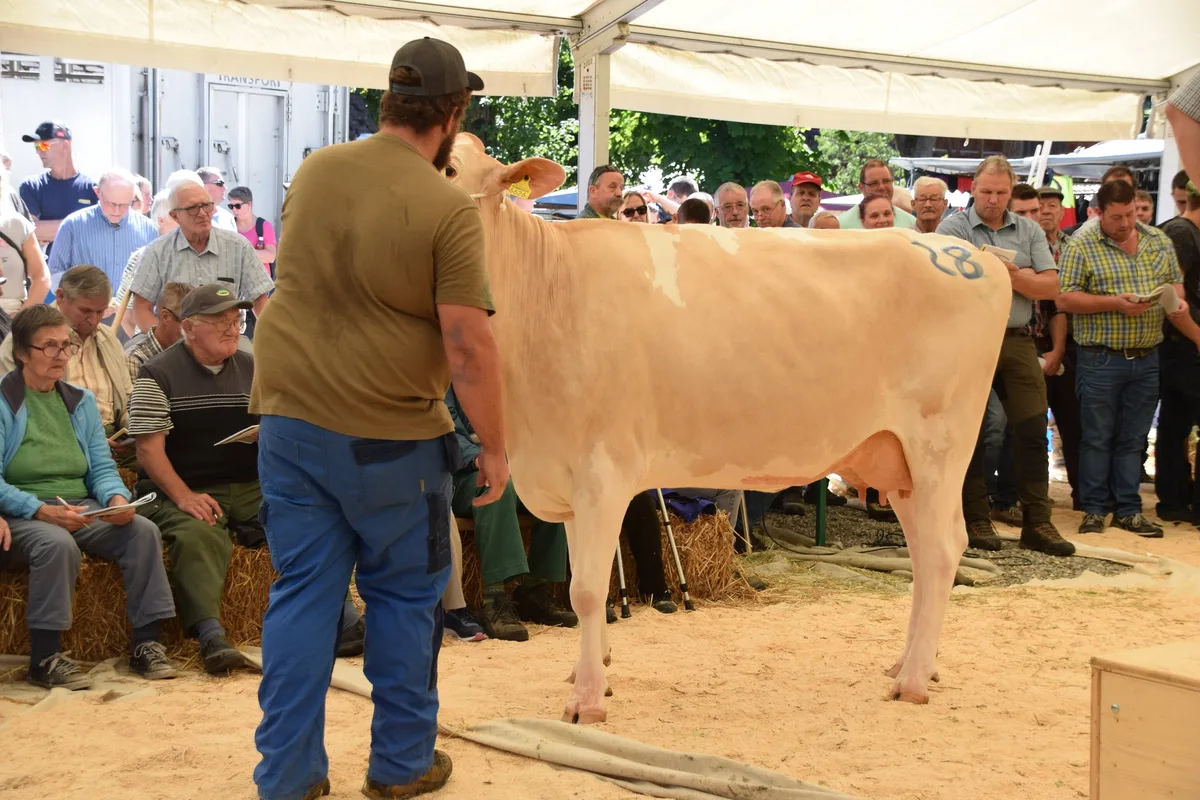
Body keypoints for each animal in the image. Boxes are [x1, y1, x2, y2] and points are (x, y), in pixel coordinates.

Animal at [446, 133, 1012, 724]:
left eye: (449, 167)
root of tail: (974, 256)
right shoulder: (567, 479)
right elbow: (584, 585)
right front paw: (588, 675)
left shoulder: (602, 472)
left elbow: (586, 590)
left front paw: (587, 702)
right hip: (896, 461)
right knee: (923, 552)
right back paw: (907, 663)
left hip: (940, 444)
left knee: (942, 549)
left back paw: (914, 680)